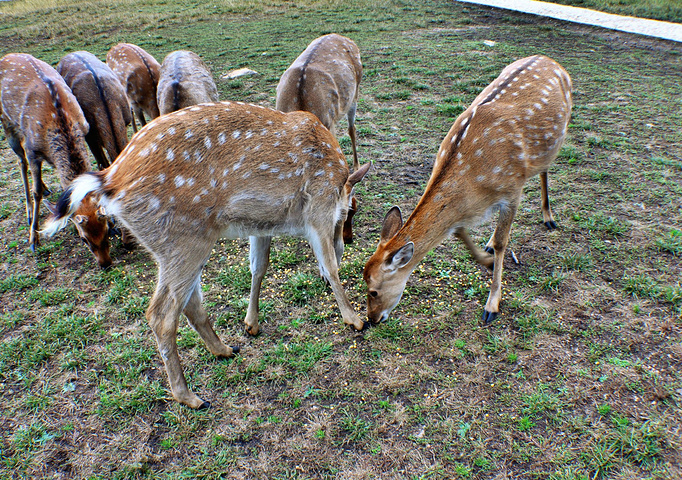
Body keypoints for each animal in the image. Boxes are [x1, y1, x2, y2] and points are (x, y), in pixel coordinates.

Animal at [0, 55, 110, 270]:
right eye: (84, 239)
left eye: (107, 231)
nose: (106, 264)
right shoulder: (33, 150)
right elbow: (36, 192)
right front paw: (33, 239)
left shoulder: (85, 129)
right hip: (7, 124)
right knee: (20, 161)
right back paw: (29, 212)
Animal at [41, 101, 372, 408]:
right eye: (349, 215)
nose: (344, 235)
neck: (338, 182)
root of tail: (109, 181)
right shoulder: (318, 207)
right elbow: (330, 265)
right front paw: (354, 319)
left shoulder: (261, 224)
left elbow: (259, 266)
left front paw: (251, 323)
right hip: (184, 238)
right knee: (161, 314)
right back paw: (189, 396)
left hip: (176, 245)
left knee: (189, 303)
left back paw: (224, 350)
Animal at [274, 32, 364, 244]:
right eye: (348, 212)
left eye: (354, 210)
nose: (349, 239)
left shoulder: (329, 125)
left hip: (356, 91)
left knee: (352, 128)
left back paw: (357, 164)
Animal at [364, 55, 572, 326]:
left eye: (374, 291)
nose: (370, 320)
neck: (474, 182)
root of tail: (549, 59)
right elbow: (460, 231)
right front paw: (487, 261)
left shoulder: (513, 189)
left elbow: (503, 243)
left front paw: (492, 305)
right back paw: (490, 242)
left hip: (558, 136)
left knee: (545, 170)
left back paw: (548, 218)